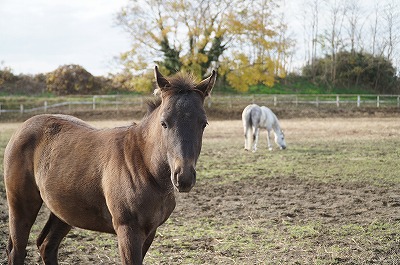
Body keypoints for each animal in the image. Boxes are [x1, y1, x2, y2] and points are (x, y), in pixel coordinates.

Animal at [3, 65, 216, 262]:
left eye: (203, 123)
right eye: (164, 123)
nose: (184, 177)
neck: (145, 165)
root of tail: (22, 128)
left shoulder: (150, 231)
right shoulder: (128, 230)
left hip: (63, 210)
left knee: (46, 245)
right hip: (20, 206)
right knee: (18, 250)